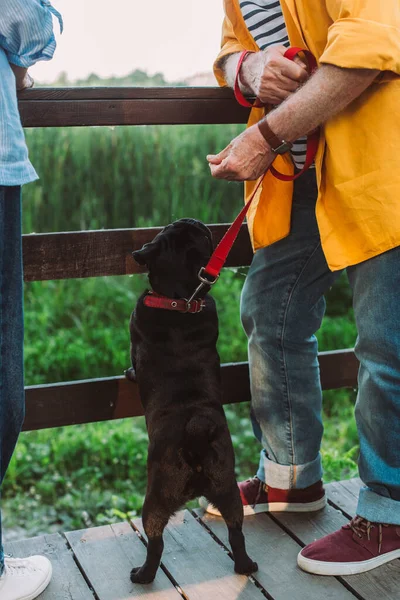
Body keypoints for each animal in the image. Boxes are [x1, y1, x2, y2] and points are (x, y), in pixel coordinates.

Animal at [125, 218, 258, 584]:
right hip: (228, 491)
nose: (191, 220)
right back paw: (245, 565)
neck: (179, 299)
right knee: (236, 533)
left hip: (155, 501)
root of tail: (195, 438)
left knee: (155, 542)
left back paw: (143, 574)